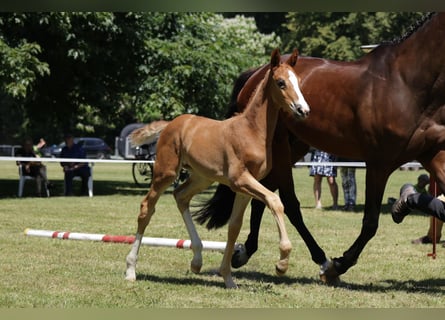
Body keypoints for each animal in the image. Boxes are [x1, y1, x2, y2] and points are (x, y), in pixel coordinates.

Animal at [123, 48, 306, 288]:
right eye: (281, 82)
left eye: (299, 82)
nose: (303, 110)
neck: (252, 131)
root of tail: (171, 124)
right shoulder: (240, 180)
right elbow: (275, 201)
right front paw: (282, 262)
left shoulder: (243, 187)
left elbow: (234, 227)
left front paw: (228, 277)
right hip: (166, 172)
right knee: (147, 208)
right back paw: (130, 270)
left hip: (203, 177)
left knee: (181, 196)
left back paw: (197, 260)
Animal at [194, 12, 445, 284]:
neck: (406, 83)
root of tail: (256, 73)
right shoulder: (379, 163)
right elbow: (370, 222)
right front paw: (339, 265)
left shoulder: (431, 154)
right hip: (279, 149)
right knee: (288, 203)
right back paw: (320, 260)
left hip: (293, 148)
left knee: (264, 194)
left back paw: (246, 252)